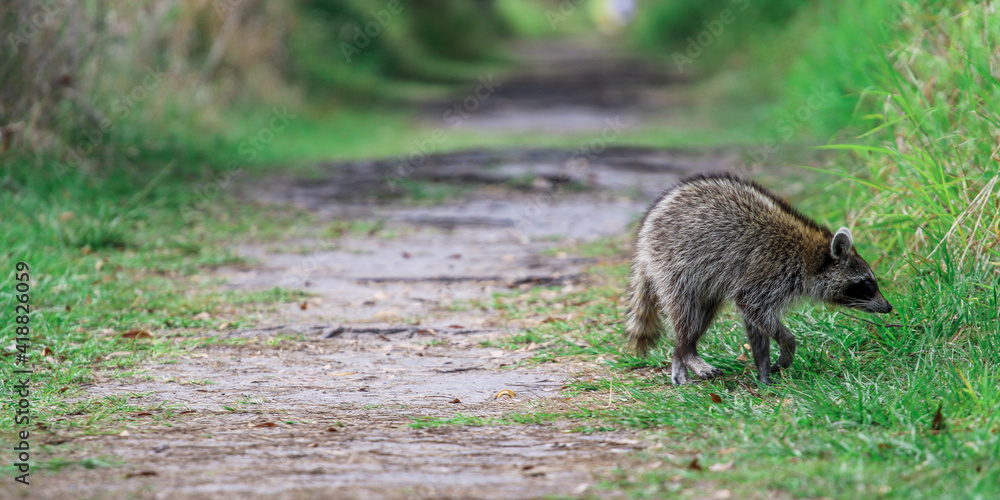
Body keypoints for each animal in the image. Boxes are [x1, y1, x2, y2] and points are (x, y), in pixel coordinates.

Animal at [625, 173, 892, 385]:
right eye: (867, 283)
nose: (888, 307)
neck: (811, 256)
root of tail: (643, 239)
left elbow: (755, 326)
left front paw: (763, 370)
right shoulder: (770, 273)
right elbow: (755, 309)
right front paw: (787, 344)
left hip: (701, 281)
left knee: (701, 315)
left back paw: (680, 354)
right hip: (674, 266)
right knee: (686, 312)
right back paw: (687, 351)